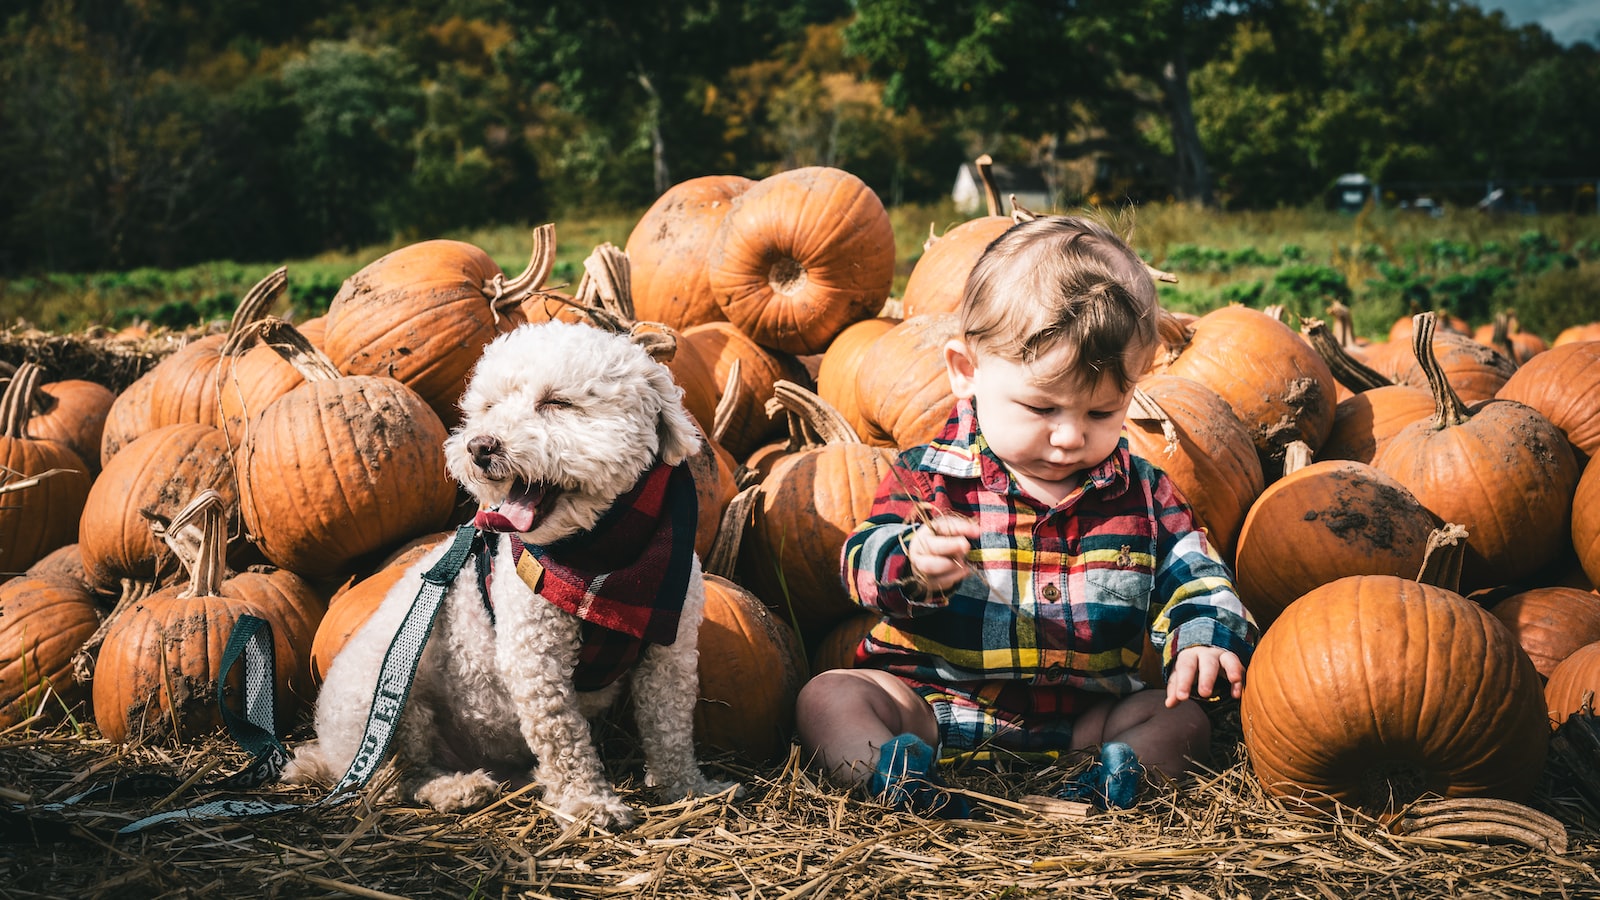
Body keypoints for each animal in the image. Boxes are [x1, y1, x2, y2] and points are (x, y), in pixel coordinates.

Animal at [284, 320, 732, 826]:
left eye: (556, 402)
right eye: (490, 407)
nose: (480, 446)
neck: (606, 560)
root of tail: (329, 754)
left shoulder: (670, 652)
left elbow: (670, 727)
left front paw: (688, 787)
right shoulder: (535, 657)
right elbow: (563, 737)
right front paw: (588, 802)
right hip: (384, 697)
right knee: (399, 778)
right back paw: (456, 789)